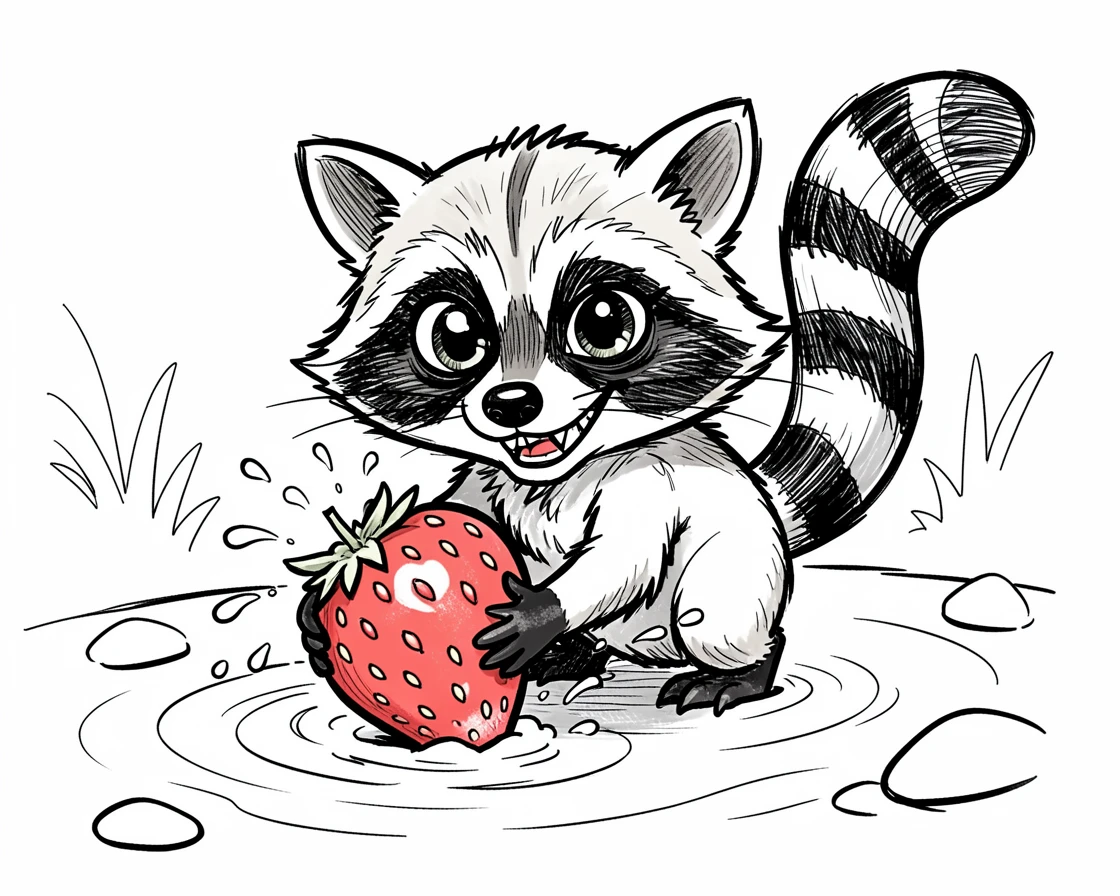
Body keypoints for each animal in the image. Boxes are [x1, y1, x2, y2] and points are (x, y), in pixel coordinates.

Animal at [293, 72, 1033, 714]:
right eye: (453, 335)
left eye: (603, 323)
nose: (513, 405)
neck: (554, 476)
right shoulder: (490, 483)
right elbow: (463, 517)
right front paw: (322, 606)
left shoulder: (651, 480)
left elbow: (624, 557)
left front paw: (543, 610)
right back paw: (572, 653)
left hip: (738, 570)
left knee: (717, 615)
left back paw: (739, 668)